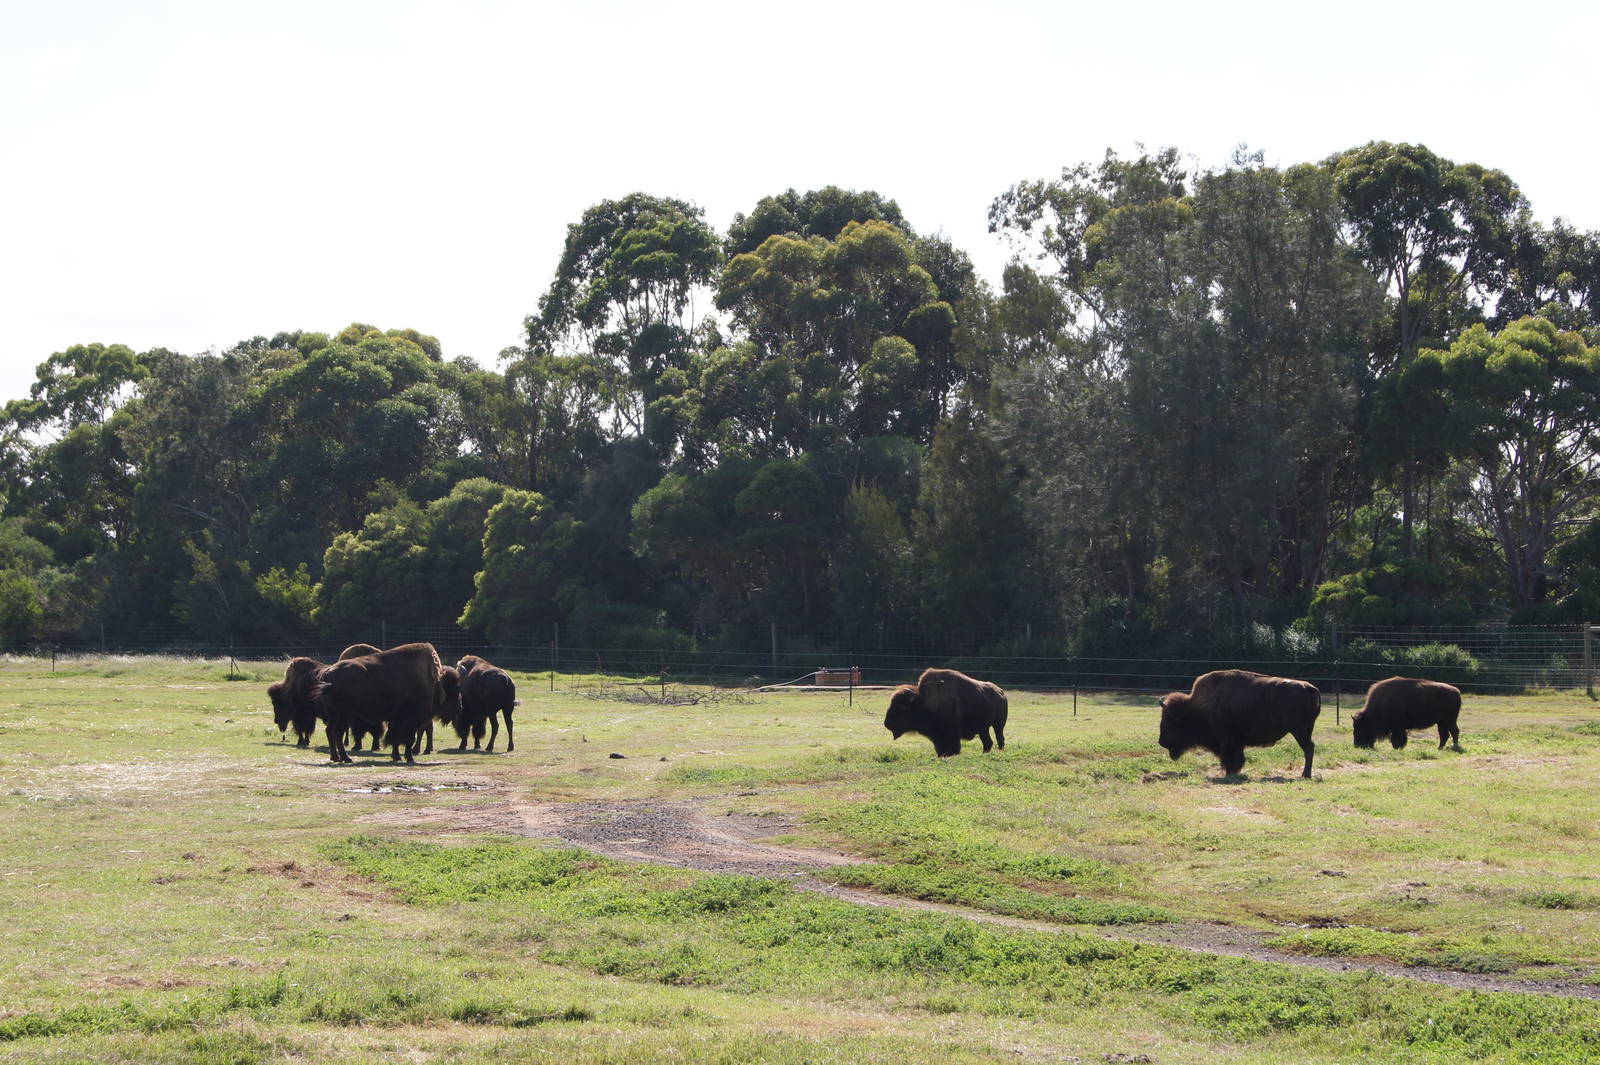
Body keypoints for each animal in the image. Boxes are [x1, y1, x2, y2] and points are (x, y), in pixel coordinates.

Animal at [1159, 669, 1320, 778]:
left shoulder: (1227, 740)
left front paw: (1228, 773)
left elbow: (1229, 758)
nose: (1162, 742)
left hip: (1299, 730)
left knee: (1308, 748)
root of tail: (1309, 688)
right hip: (1306, 729)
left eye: (1170, 720)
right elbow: (1238, 758)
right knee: (1309, 748)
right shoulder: (1237, 741)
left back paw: (1305, 775)